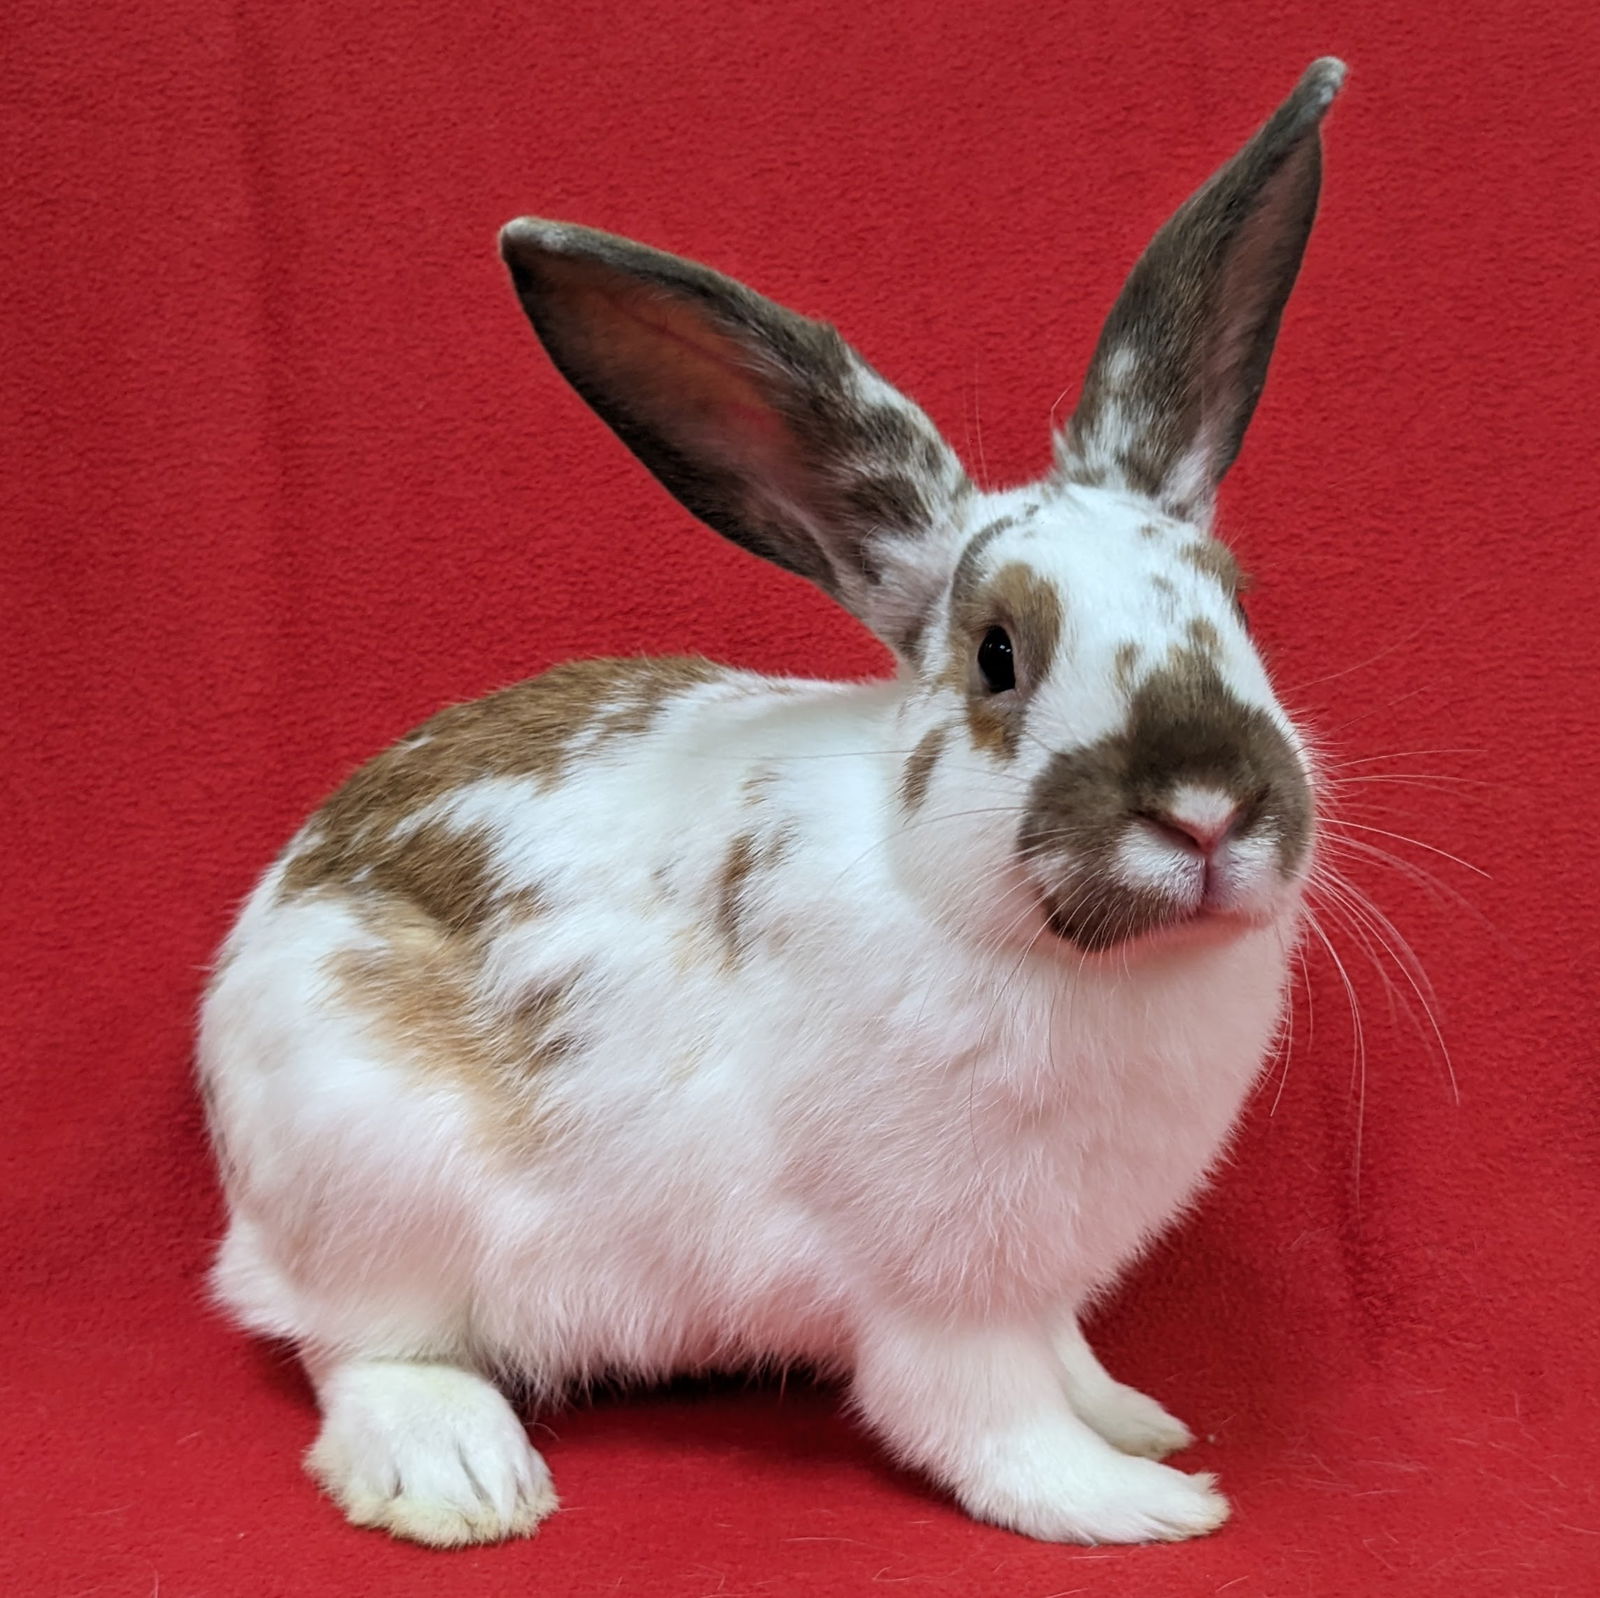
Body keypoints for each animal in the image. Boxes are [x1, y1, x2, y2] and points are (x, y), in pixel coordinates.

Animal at [200, 62, 1350, 1548]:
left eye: (1239, 608)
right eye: (997, 653)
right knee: (361, 1345)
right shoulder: (937, 1288)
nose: (1205, 807)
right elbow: (987, 1414)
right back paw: (458, 1476)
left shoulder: (1038, 1283)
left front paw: (1135, 1417)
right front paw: (1137, 1501)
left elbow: (1066, 1360)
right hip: (371, 1168)